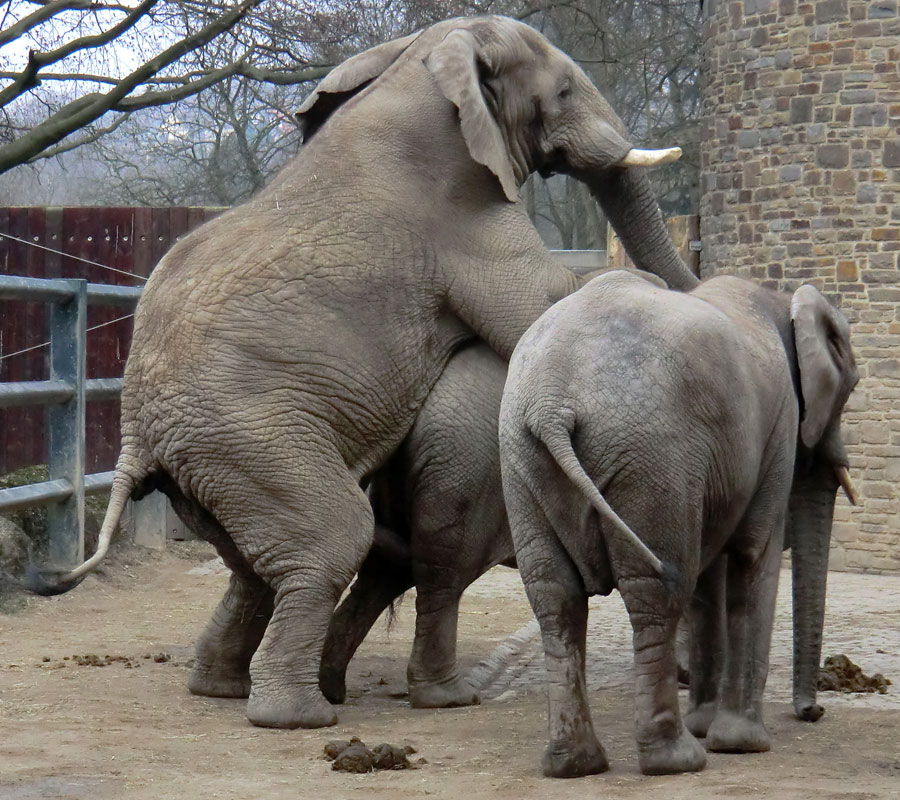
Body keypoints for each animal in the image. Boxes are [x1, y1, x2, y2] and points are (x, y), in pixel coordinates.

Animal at [37, 14, 696, 732]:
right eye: (566, 90)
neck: (426, 58)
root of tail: (135, 438)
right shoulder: (466, 223)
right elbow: (544, 304)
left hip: (212, 464)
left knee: (256, 566)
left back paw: (225, 687)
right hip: (248, 436)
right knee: (332, 535)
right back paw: (302, 717)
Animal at [500, 272, 856, 780]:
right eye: (852, 385)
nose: (814, 711)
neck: (779, 299)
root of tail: (551, 403)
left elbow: (710, 577)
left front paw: (710, 727)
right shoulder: (780, 424)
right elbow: (753, 553)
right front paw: (742, 744)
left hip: (522, 460)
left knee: (555, 596)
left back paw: (574, 764)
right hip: (654, 455)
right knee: (657, 593)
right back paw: (676, 760)